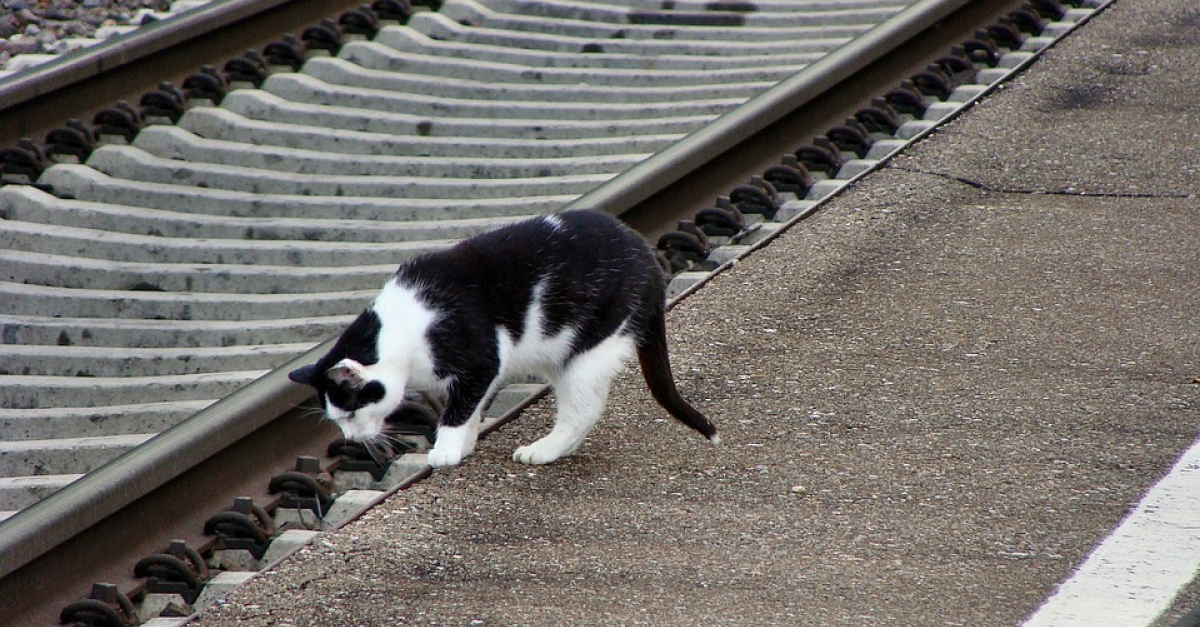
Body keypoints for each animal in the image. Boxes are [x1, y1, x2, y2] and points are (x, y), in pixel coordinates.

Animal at [288, 209, 720, 463]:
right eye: (338, 419)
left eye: (349, 413)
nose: (351, 438)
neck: (404, 326)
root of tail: (647, 255)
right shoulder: (483, 374)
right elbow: (471, 407)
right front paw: (465, 443)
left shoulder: (482, 361)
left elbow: (458, 410)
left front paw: (445, 451)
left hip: (590, 348)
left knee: (583, 410)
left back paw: (543, 451)